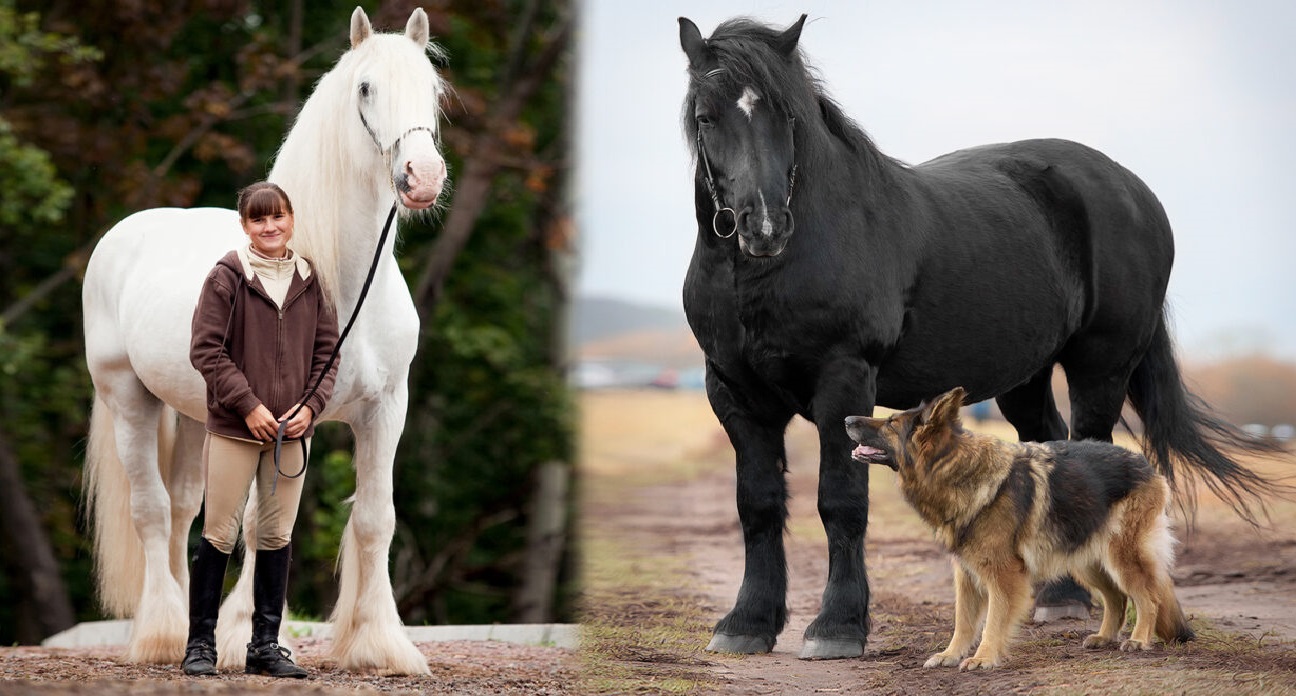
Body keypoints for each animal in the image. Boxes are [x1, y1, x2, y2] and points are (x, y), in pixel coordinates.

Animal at [81, 8, 447, 675]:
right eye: (365, 88)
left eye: (432, 90)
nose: (422, 177)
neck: (341, 285)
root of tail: (124, 235)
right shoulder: (275, 418)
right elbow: (257, 523)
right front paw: (238, 636)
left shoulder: (386, 409)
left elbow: (374, 519)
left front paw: (380, 644)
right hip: (128, 399)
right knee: (151, 510)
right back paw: (162, 634)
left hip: (195, 416)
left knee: (182, 510)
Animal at [678, 15, 1281, 660]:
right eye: (707, 116)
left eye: (787, 117)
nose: (763, 227)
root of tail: (1135, 193)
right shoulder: (735, 394)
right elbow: (758, 506)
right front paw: (746, 623)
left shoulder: (843, 383)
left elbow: (840, 502)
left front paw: (836, 627)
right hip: (1027, 376)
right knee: (1049, 440)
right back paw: (1060, 596)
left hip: (1102, 366)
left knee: (1088, 449)